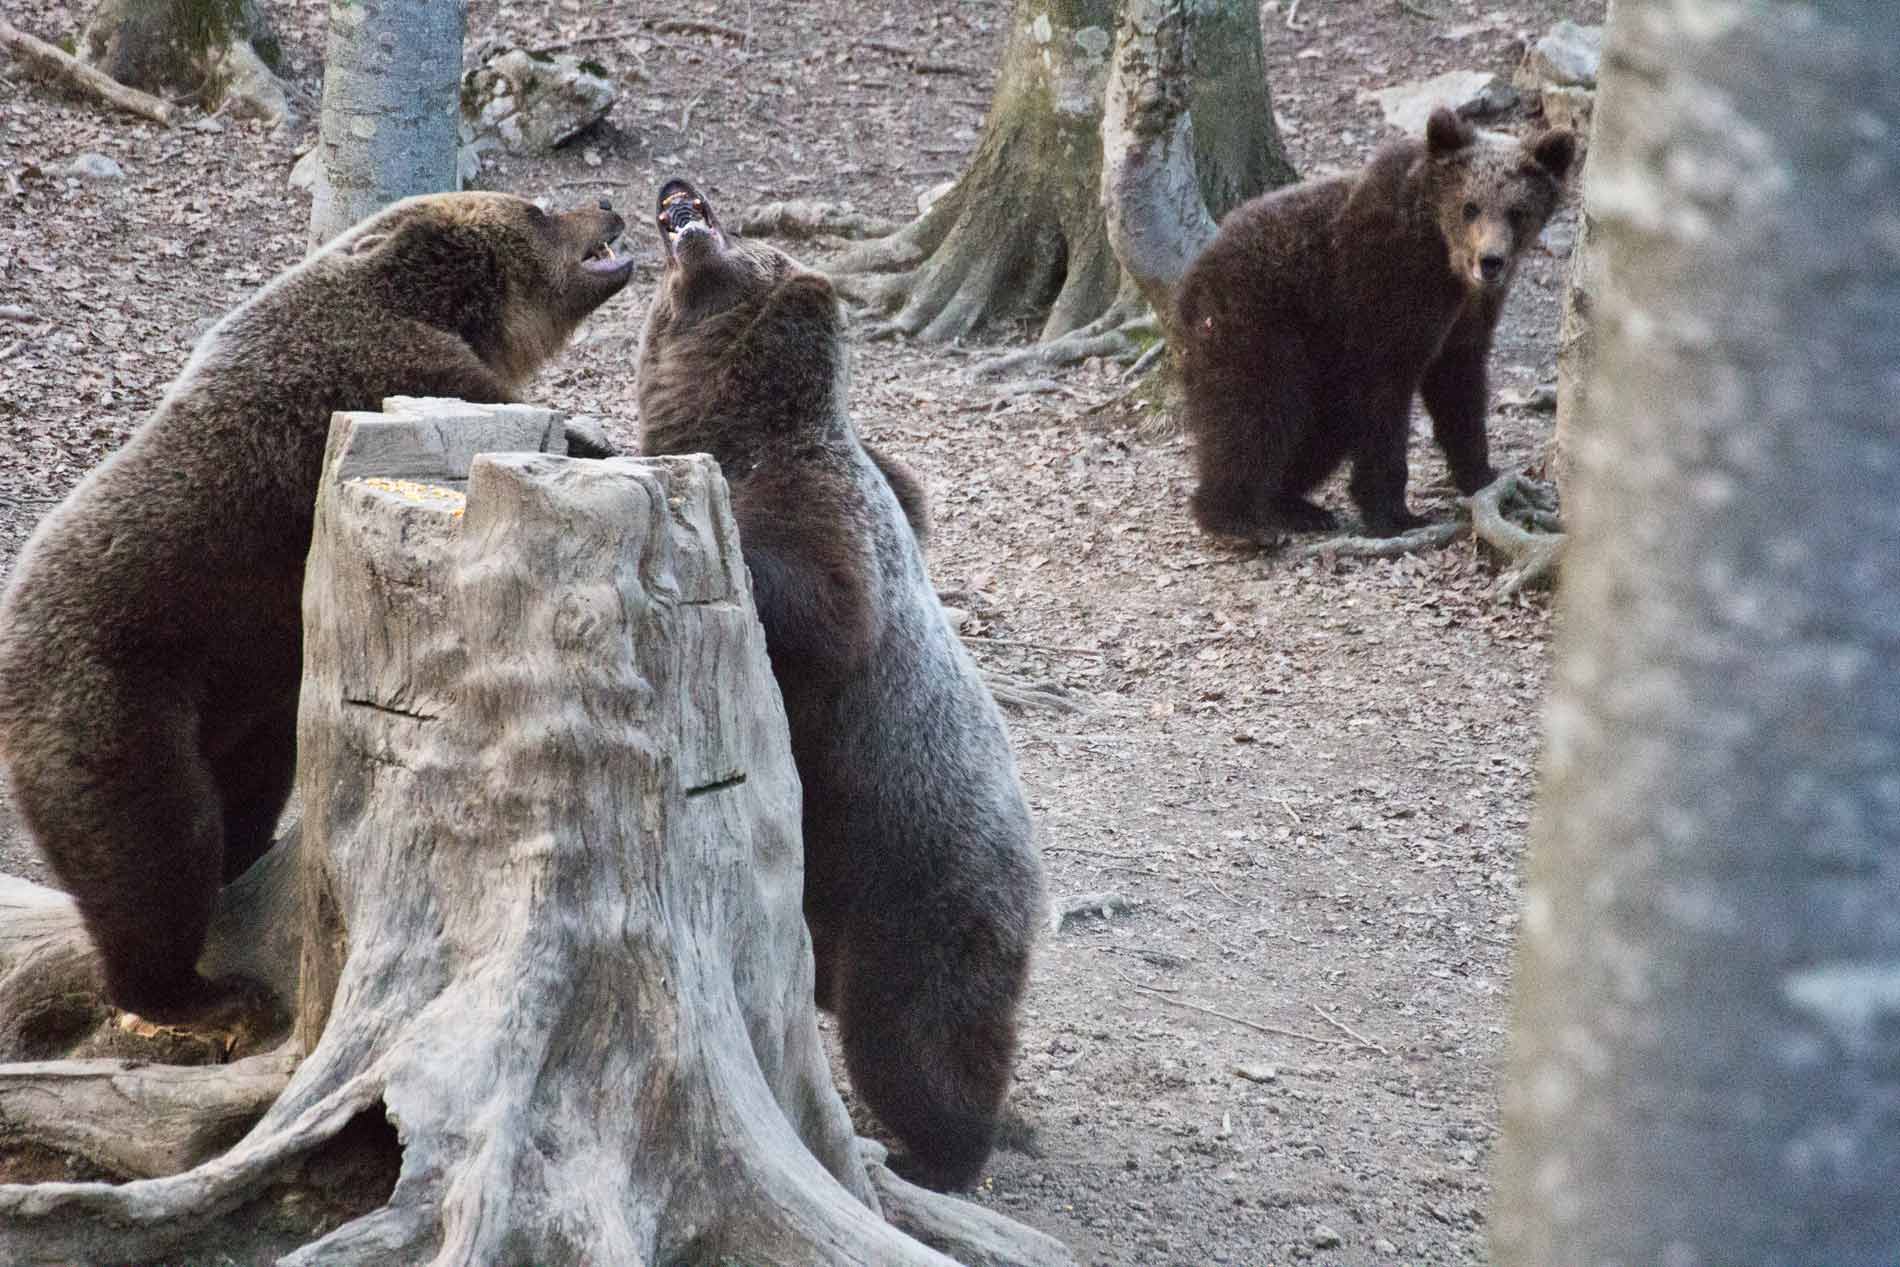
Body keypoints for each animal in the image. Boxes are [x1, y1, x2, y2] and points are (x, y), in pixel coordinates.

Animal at [0, 190, 638, 1018]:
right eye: (535, 210)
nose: (607, 204)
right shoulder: (382, 377)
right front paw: (600, 440)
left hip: (237, 697)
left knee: (247, 786)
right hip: (118, 687)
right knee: (158, 842)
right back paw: (194, 990)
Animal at [642, 178, 1056, 1192]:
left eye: (751, 243)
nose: (678, 194)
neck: (732, 424)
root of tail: (1036, 886)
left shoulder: (828, 514)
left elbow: (825, 602)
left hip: (918, 888)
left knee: (916, 1037)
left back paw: (932, 1152)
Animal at [1178, 107, 1580, 539]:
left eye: (1517, 211)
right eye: (1470, 206)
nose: (1490, 262)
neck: (1445, 261)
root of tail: (1194, 274)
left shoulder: (1466, 320)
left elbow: (1460, 391)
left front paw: (1481, 474)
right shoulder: (1384, 295)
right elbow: (1382, 402)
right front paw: (1394, 513)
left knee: (1318, 430)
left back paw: (1297, 506)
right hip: (1258, 321)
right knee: (1252, 410)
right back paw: (1237, 520)